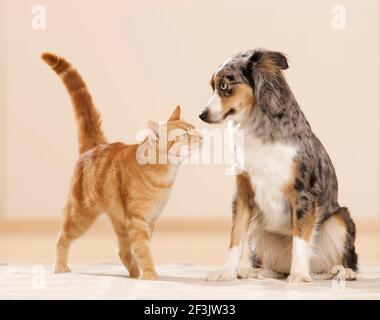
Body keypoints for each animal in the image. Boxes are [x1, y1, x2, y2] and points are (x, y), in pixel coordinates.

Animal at [41, 52, 202, 280]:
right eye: (185, 135)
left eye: (194, 129)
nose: (202, 136)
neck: (164, 176)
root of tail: (95, 146)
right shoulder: (138, 219)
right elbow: (143, 249)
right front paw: (150, 274)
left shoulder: (149, 220)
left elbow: (139, 248)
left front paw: (143, 272)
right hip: (80, 215)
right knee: (62, 237)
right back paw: (60, 267)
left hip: (118, 220)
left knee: (122, 250)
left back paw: (133, 272)